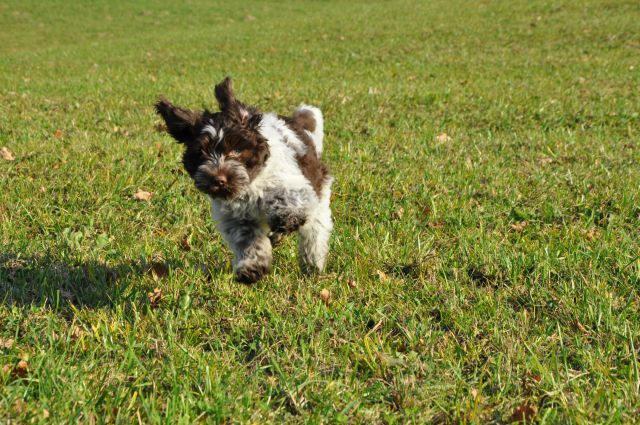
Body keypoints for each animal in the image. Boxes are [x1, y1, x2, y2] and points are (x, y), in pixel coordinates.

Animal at [157, 78, 332, 284]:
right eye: (201, 153)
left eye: (237, 150)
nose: (218, 180)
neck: (248, 186)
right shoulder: (238, 220)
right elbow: (250, 242)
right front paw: (252, 268)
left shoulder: (296, 185)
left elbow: (285, 197)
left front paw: (286, 217)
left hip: (319, 199)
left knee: (314, 234)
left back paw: (312, 266)